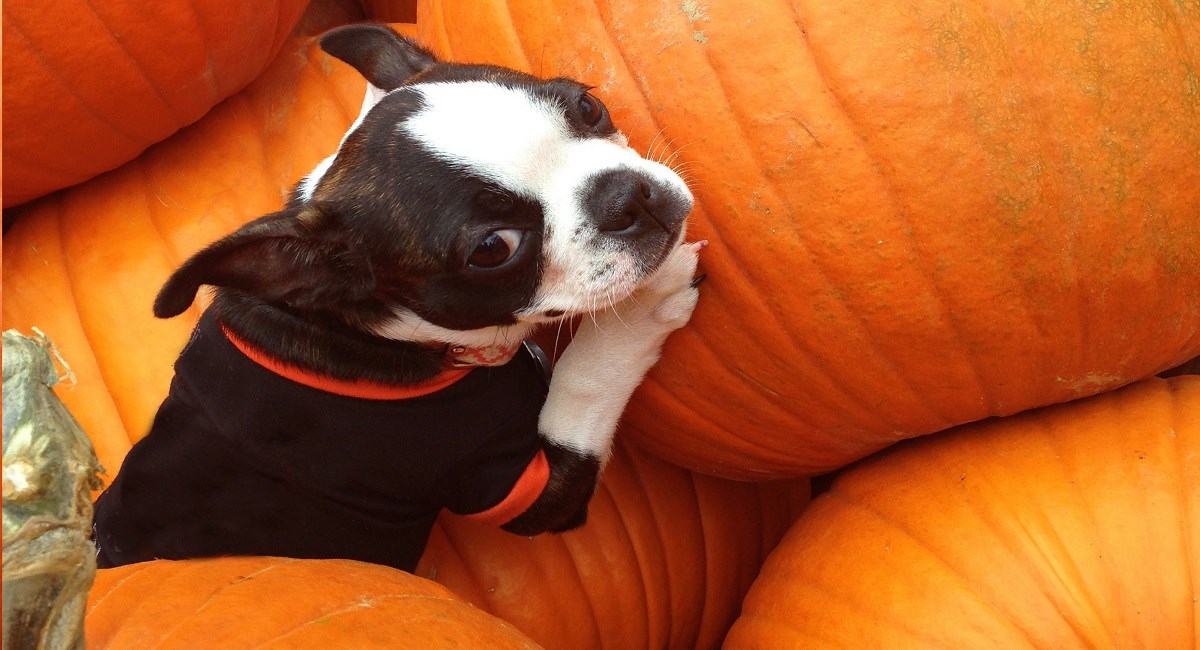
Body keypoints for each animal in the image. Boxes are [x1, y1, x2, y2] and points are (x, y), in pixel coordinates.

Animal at [93, 24, 700, 575]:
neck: (355, 329)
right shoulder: (517, 484)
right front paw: (644, 308)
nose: (629, 197)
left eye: (588, 105)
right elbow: (585, 383)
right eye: (493, 248)